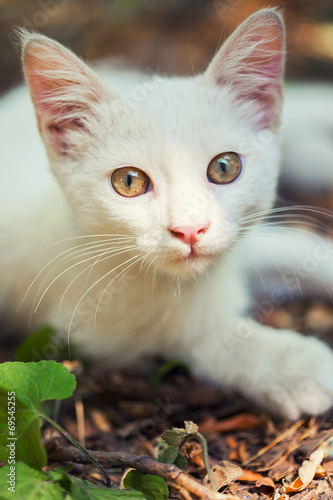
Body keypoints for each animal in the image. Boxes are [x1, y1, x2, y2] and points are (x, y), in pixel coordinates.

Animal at [0, 9, 332, 420]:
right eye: (128, 181)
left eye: (224, 167)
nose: (189, 229)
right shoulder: (90, 325)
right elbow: (195, 335)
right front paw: (294, 365)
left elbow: (299, 249)